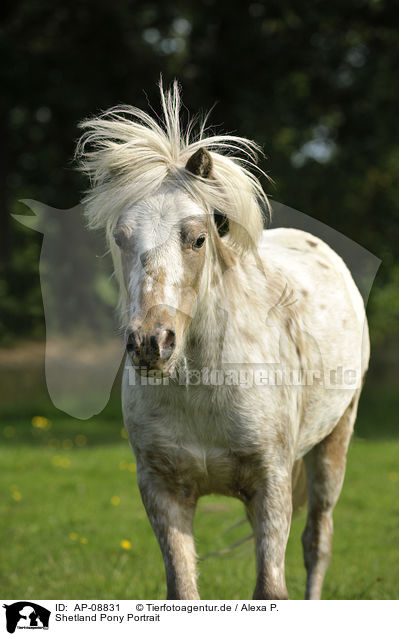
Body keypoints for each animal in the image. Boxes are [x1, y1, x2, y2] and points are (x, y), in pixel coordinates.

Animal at [76, 82, 370, 600]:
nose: (152, 343)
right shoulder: (163, 490)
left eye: (197, 238)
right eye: (121, 237)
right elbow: (183, 590)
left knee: (317, 540)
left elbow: (271, 588)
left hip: (335, 442)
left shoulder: (271, 486)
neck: (203, 387)